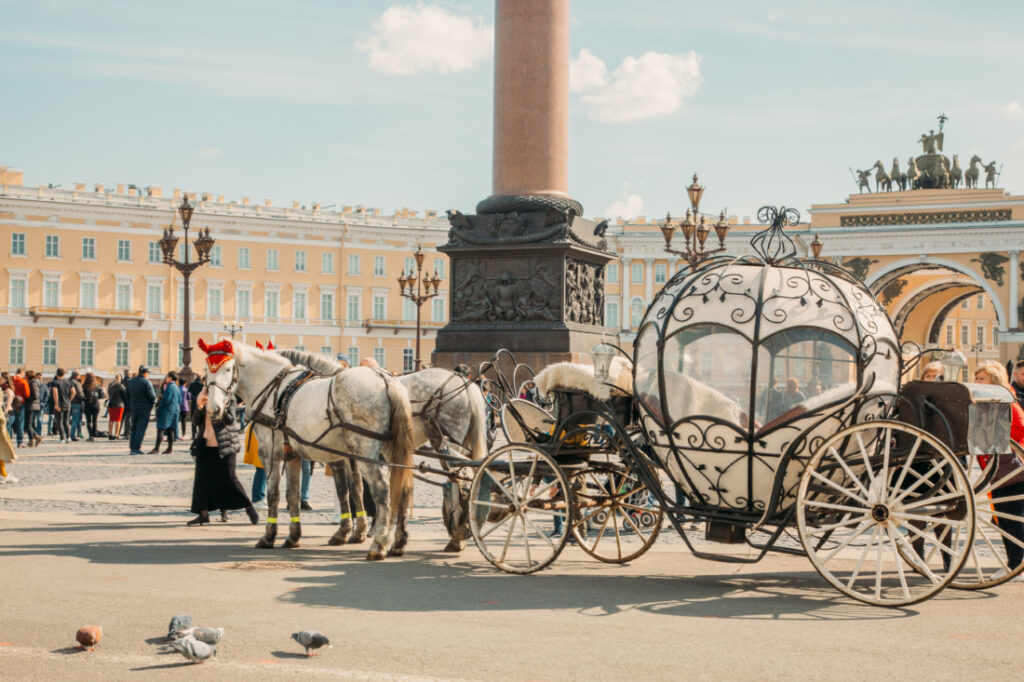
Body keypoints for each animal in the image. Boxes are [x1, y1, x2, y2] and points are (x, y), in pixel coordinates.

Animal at [199, 337, 415, 557]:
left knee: (383, 489)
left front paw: (268, 536)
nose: (213, 409)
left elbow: (274, 493)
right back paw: (398, 542)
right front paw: (294, 537)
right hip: (389, 450)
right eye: (207, 370)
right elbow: (298, 494)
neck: (274, 388)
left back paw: (379, 543)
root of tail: (385, 378)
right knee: (403, 486)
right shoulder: (296, 455)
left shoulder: (271, 452)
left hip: (366, 451)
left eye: (227, 369)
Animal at [276, 350, 491, 552]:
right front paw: (360, 531)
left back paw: (456, 536)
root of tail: (463, 382)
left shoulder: (340, 453)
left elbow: (346, 490)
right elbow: (356, 488)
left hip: (449, 443)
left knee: (459, 480)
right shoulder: (353, 455)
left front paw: (353, 531)